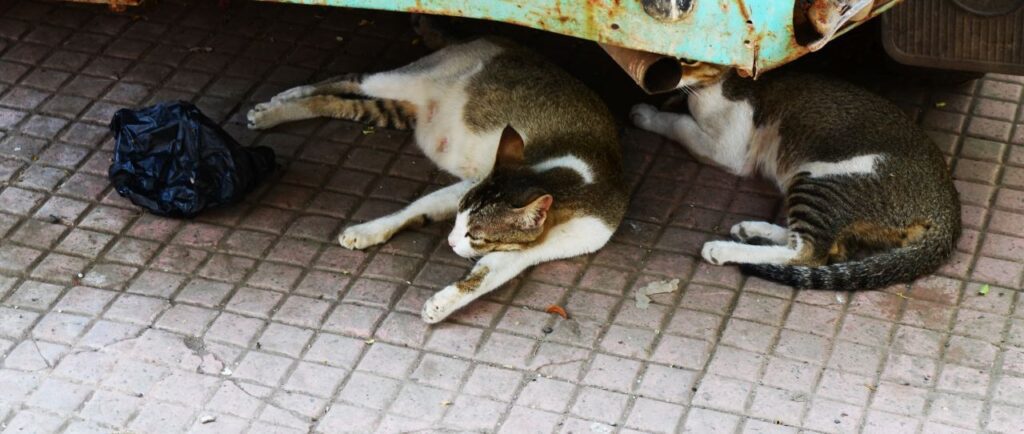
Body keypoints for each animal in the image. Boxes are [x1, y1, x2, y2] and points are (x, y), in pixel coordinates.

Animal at [249, 34, 622, 321]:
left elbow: (485, 275)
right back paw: (281, 101)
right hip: (404, 78)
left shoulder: (532, 249)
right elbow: (415, 208)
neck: (572, 182)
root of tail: (492, 37)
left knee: (337, 103)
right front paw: (368, 230)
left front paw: (443, 303)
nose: (450, 242)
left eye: (476, 235)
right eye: (459, 219)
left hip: (393, 110)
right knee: (351, 77)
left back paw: (284, 108)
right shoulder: (473, 184)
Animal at [630, 66, 958, 290]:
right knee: (828, 248)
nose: (657, 80)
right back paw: (751, 230)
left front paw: (648, 115)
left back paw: (724, 248)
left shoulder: (728, 151)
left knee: (809, 253)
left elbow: (678, 125)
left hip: (821, 179)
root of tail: (948, 206)